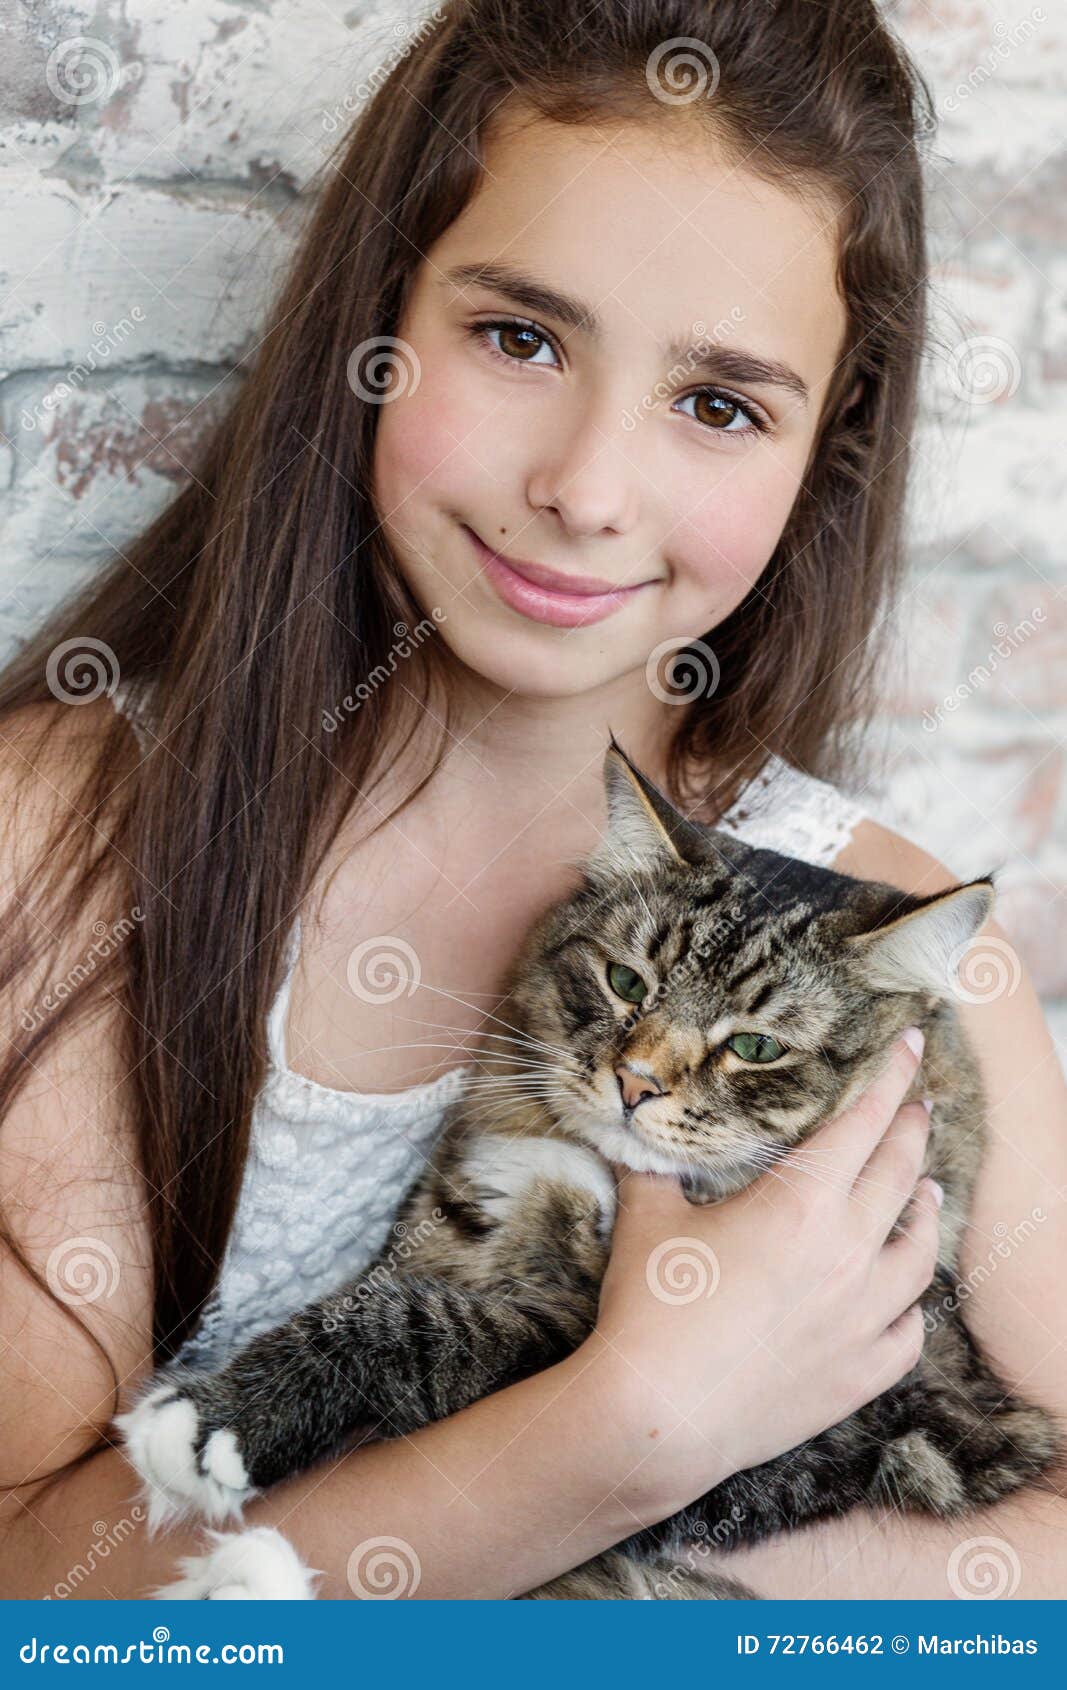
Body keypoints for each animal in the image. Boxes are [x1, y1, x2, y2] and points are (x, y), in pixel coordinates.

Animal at [119, 740, 1061, 1595]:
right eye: (625, 982)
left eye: (754, 1047)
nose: (635, 1083)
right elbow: (373, 1297)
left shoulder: (823, 1429)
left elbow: (426, 1329)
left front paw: (213, 1426)